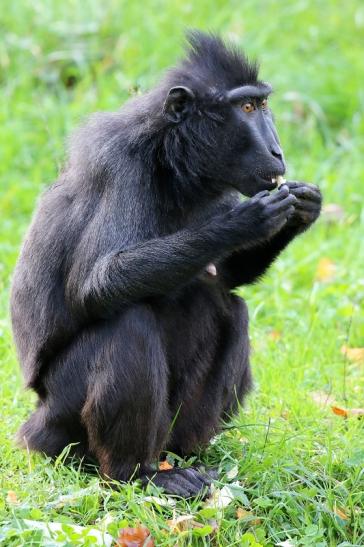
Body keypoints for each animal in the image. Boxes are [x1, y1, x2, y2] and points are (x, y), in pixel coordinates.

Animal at [10, 32, 322, 498]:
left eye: (262, 104)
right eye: (247, 108)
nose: (277, 151)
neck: (171, 157)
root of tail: (35, 426)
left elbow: (227, 277)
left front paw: (303, 207)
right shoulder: (121, 165)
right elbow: (94, 283)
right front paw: (241, 223)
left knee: (228, 306)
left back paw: (187, 456)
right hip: (60, 418)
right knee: (129, 322)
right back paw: (139, 473)